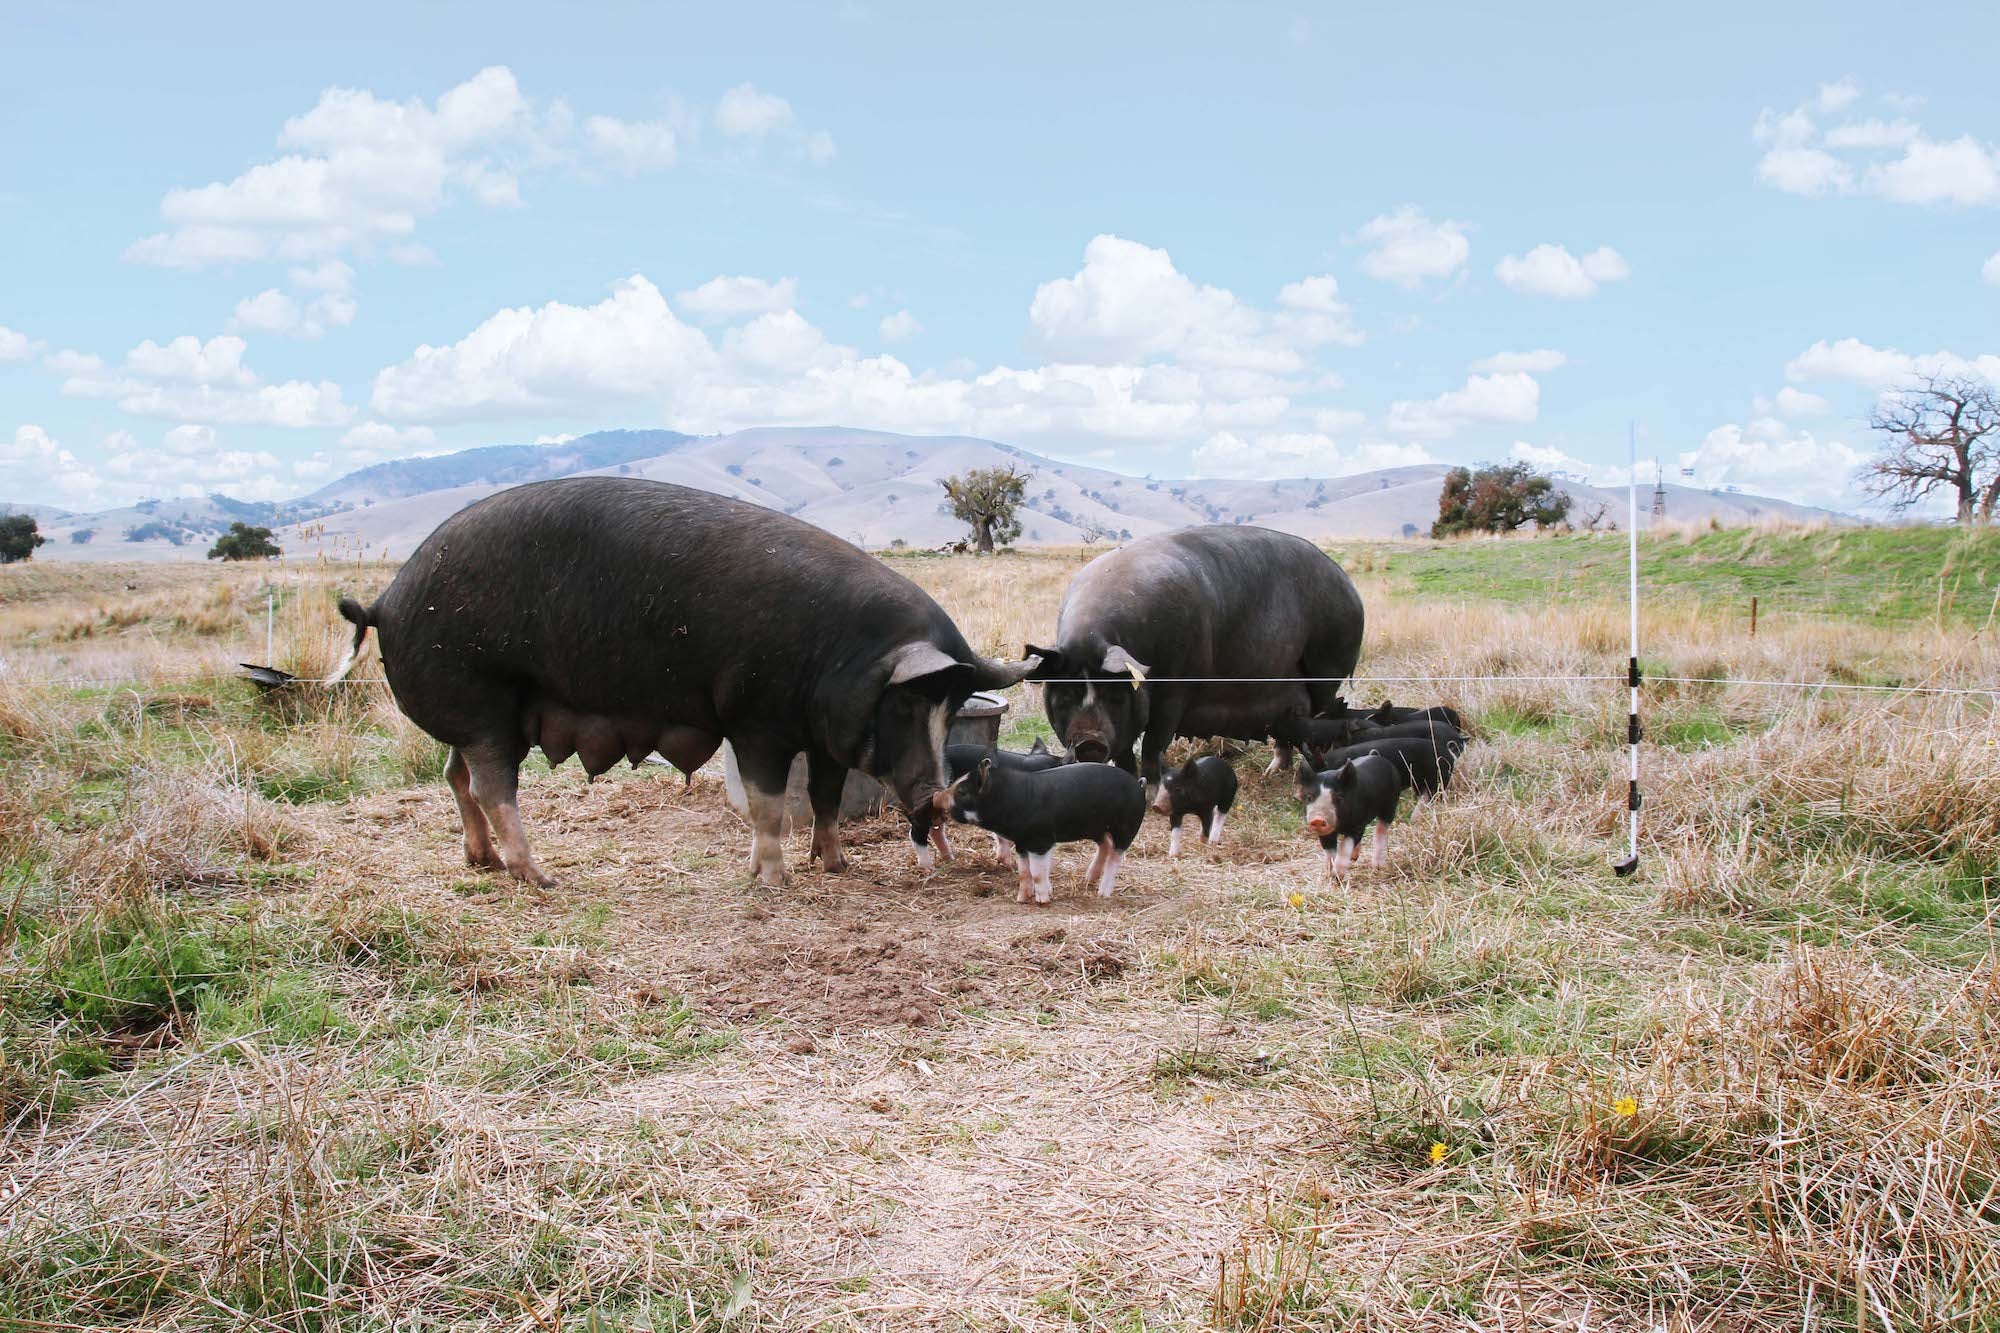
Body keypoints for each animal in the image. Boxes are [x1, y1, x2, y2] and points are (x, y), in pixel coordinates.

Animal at [326, 477, 1039, 888]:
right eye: (908, 704)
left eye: (953, 707)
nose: (936, 798)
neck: (844, 656)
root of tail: (385, 600)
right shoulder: (754, 722)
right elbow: (767, 805)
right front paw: (772, 881)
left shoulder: (825, 737)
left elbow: (828, 800)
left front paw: (835, 866)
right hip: (481, 701)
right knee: (492, 785)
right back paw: (541, 878)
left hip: (485, 714)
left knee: (456, 776)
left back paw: (483, 864)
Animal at [938, 758, 1148, 904]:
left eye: (962, 791)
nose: (936, 798)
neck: (1008, 800)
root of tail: (1139, 785)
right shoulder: (1021, 842)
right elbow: (1024, 872)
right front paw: (1021, 900)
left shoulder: (1041, 840)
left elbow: (1037, 872)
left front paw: (1042, 901)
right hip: (1096, 828)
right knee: (1106, 845)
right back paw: (1087, 881)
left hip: (1127, 826)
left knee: (1116, 856)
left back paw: (1102, 894)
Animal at [1025, 526, 1364, 798]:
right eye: (1065, 694)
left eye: (1112, 694)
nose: (1089, 742)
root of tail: (1348, 585)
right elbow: (1124, 753)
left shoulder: (1176, 687)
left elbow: (1153, 743)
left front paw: (1151, 793)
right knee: (1289, 727)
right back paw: (1272, 773)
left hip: (1329, 665)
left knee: (1318, 720)